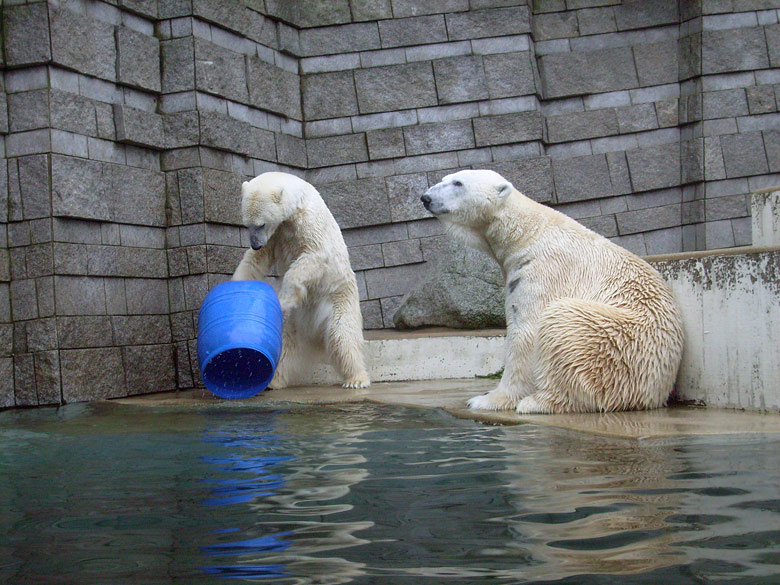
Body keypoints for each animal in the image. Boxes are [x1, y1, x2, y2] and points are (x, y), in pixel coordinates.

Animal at [233, 171, 370, 390]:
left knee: (342, 336)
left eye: (261, 224)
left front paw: (286, 296)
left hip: (339, 299)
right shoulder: (276, 235)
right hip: (293, 321)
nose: (255, 244)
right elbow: (257, 260)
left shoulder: (308, 223)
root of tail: (314, 333)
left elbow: (314, 254)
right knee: (285, 345)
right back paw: (273, 381)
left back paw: (356, 379)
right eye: (247, 225)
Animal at [420, 169, 684, 416]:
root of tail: (656, 393)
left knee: (563, 321)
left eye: (458, 183)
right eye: (445, 179)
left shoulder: (542, 271)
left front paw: (488, 399)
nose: (426, 197)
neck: (527, 234)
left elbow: (525, 332)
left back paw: (539, 402)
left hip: (619, 343)